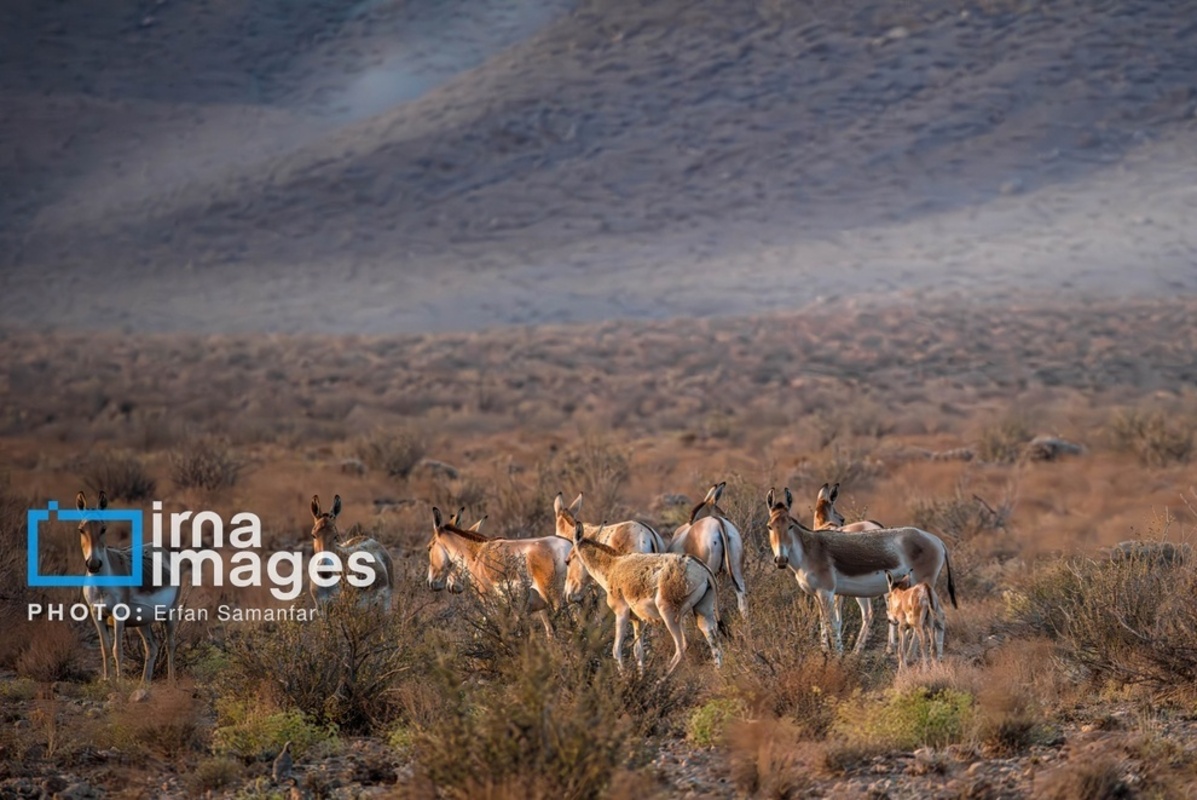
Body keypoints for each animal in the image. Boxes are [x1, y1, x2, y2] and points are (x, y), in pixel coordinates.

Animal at [76, 491, 179, 685]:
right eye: (81, 529)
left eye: (103, 528)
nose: (94, 564)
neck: (102, 584)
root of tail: (161, 549)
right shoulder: (96, 614)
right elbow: (105, 649)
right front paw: (107, 680)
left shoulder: (119, 614)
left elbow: (117, 649)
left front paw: (120, 682)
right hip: (142, 621)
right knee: (152, 647)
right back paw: (144, 683)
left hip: (170, 613)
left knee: (170, 644)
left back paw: (171, 681)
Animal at [426, 510, 569, 632]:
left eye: (429, 547)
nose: (430, 583)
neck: (476, 554)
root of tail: (569, 546)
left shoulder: (490, 603)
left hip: (556, 599)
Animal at [572, 519, 727, 675]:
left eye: (570, 558)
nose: (571, 594)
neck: (612, 567)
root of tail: (703, 569)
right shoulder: (637, 620)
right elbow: (638, 651)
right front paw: (640, 676)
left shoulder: (621, 613)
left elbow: (616, 650)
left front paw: (624, 677)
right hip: (703, 611)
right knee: (715, 643)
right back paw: (718, 674)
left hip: (669, 614)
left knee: (682, 646)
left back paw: (662, 677)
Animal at [770, 488, 957, 656]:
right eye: (770, 526)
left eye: (790, 525)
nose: (781, 560)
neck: (810, 549)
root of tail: (936, 540)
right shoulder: (817, 594)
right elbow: (824, 621)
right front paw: (825, 652)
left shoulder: (827, 592)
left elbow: (833, 623)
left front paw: (837, 656)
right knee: (938, 617)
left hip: (921, 586)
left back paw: (909, 655)